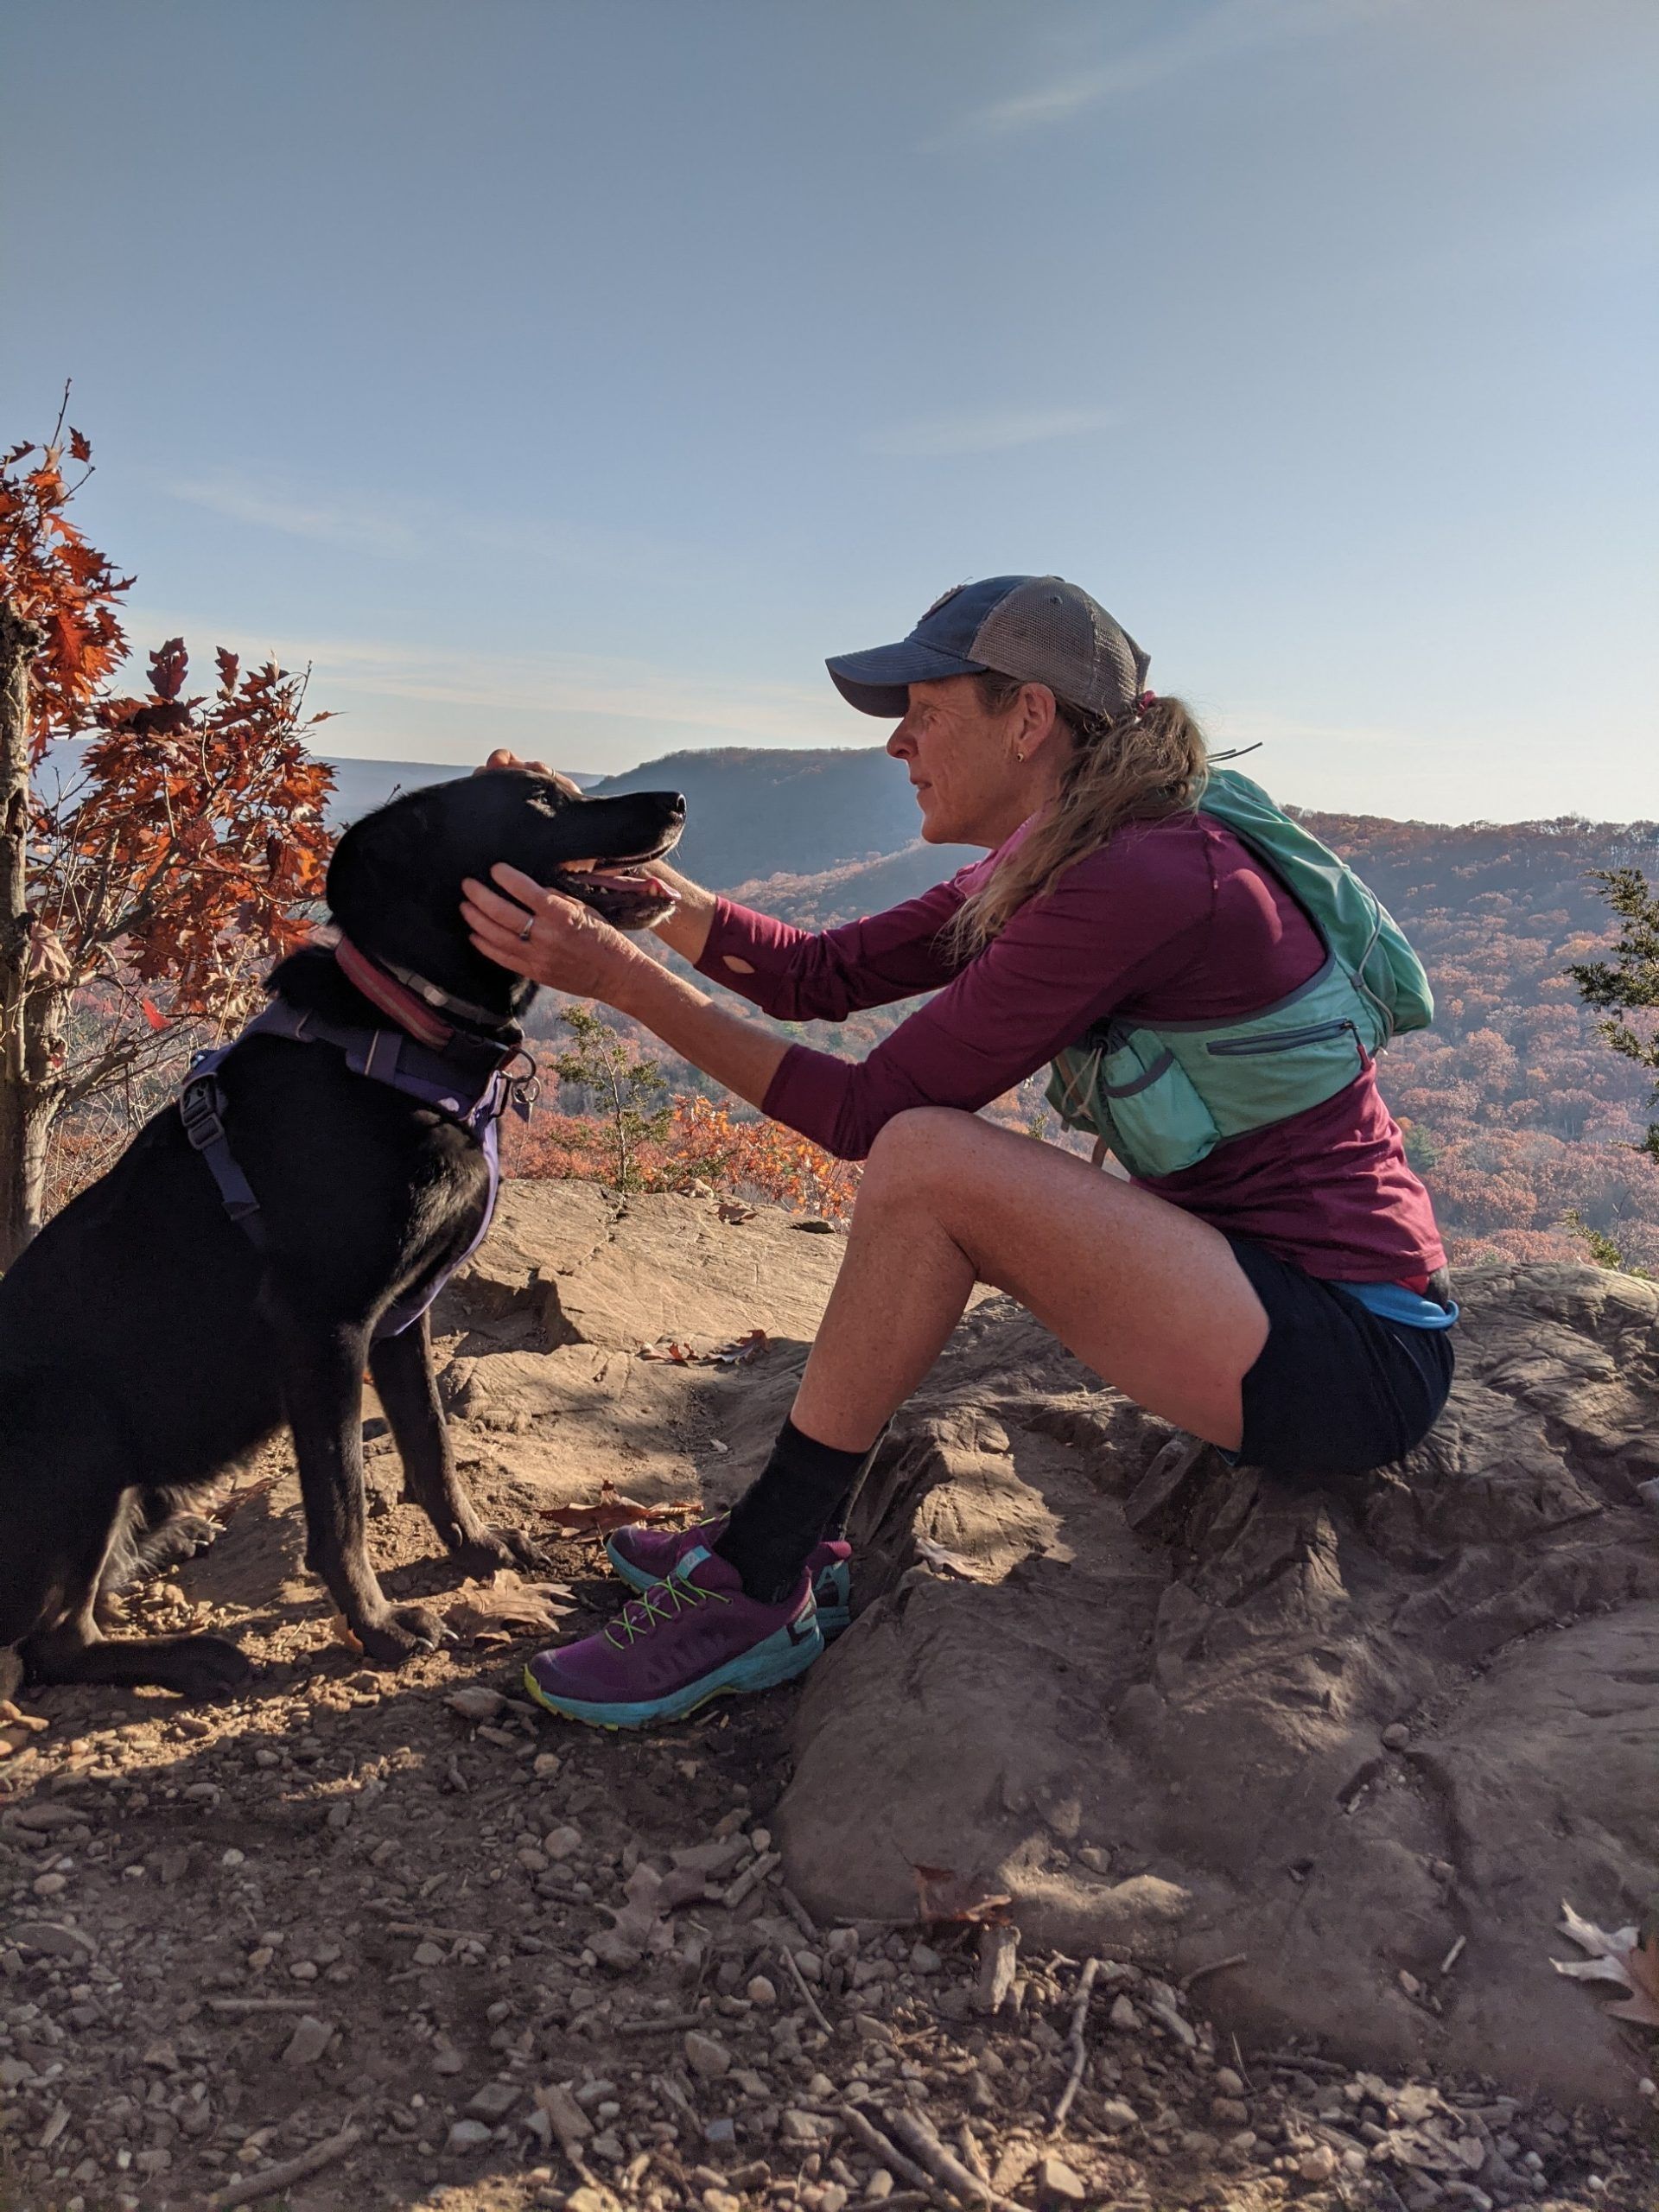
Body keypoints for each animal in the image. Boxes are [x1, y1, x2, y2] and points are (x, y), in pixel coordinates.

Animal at [0, 769, 681, 1699]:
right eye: (540, 798)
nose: (677, 802)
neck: (406, 1026)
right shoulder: (326, 1326)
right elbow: (344, 1502)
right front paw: (381, 1625)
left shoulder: (402, 1320)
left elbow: (433, 1451)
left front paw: (478, 1549)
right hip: (76, 1421)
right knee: (53, 1644)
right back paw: (194, 1654)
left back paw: (171, 1541)